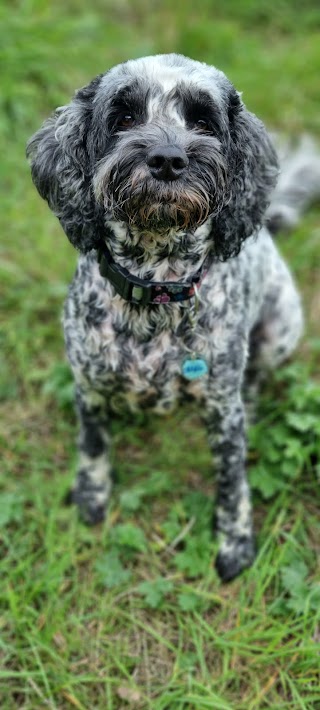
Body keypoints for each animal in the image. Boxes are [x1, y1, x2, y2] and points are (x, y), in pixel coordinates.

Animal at [27, 52, 318, 580]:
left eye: (202, 120)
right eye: (124, 117)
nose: (167, 159)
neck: (156, 290)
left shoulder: (222, 412)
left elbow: (232, 482)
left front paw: (235, 542)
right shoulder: (89, 387)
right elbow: (93, 447)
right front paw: (91, 497)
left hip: (281, 329)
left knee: (258, 375)